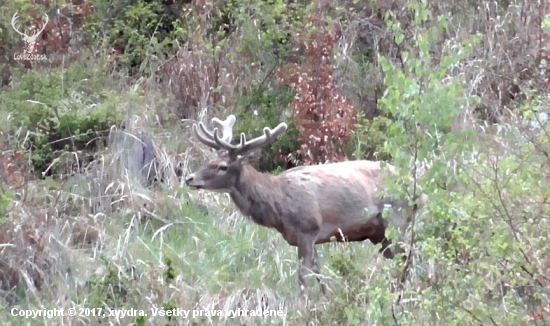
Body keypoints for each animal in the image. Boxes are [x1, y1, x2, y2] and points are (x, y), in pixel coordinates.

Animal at [185, 115, 426, 296]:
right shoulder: (311, 236)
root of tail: (420, 194)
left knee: (407, 259)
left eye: (223, 166)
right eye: (210, 160)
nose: (189, 178)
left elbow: (303, 276)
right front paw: (326, 300)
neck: (278, 206)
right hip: (378, 234)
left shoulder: (307, 228)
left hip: (396, 219)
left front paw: (304, 307)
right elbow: (320, 272)